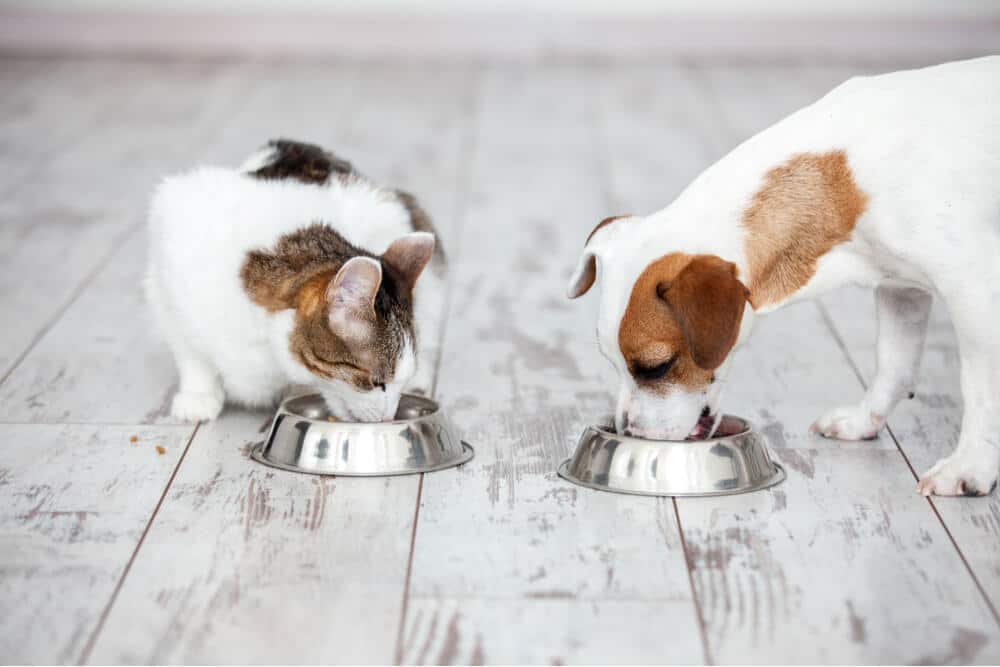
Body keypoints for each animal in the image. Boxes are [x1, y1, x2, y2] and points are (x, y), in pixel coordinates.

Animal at [145, 140, 446, 422]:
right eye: (377, 382)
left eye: (398, 382)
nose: (388, 417)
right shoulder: (167, 269)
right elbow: (190, 352)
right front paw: (198, 395)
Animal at [572, 56, 1000, 496]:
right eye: (611, 361)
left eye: (656, 367)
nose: (628, 432)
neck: (844, 180)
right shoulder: (900, 289)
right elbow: (894, 365)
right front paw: (864, 419)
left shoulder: (975, 291)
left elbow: (980, 388)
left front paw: (970, 467)